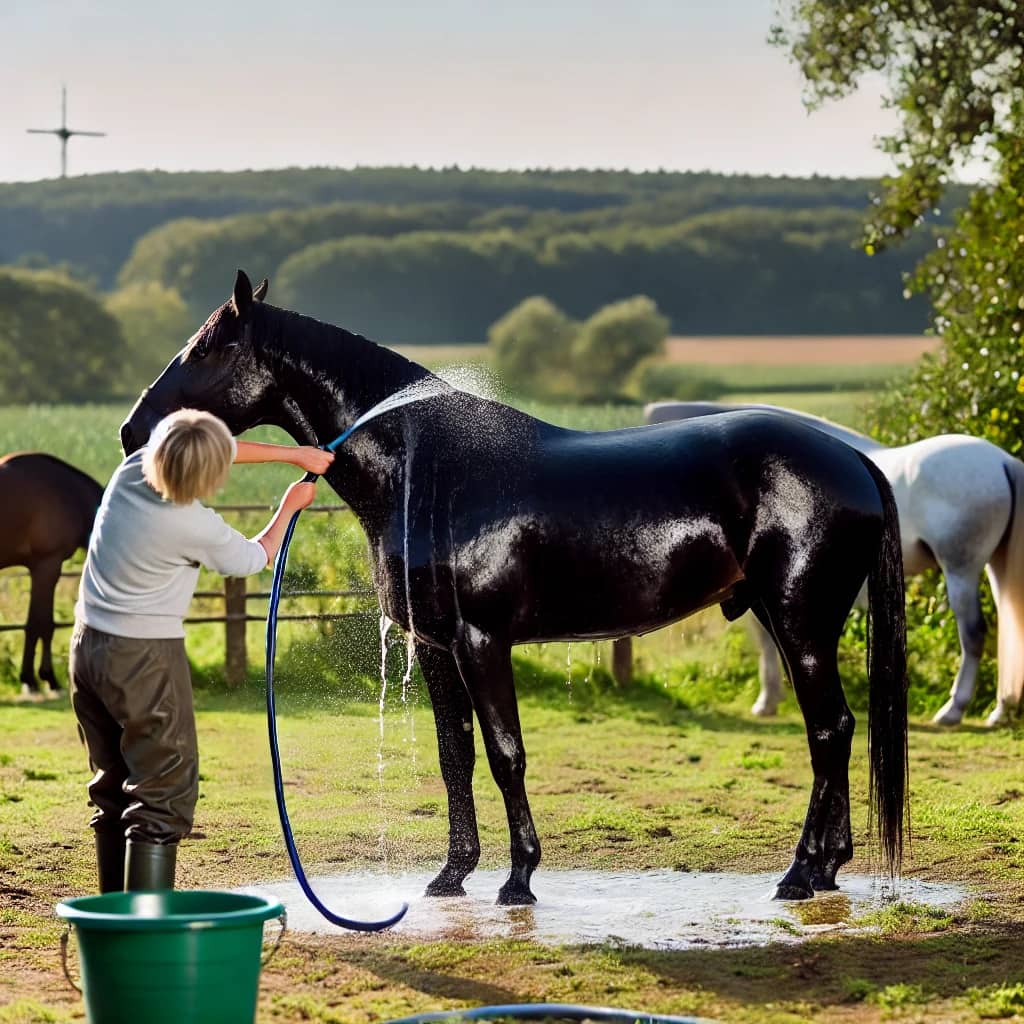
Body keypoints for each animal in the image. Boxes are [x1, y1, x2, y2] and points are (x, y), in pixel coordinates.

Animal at [121, 272, 913, 905]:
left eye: (205, 348)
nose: (134, 431)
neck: (427, 466)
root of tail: (855, 461)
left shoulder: (482, 641)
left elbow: (506, 754)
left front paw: (519, 879)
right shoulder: (435, 645)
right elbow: (456, 756)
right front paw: (451, 875)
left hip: (800, 623)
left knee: (828, 730)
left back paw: (801, 874)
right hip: (791, 623)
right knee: (836, 730)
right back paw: (827, 868)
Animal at [647, 399, 1024, 729]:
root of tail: (1002, 461)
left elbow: (766, 643)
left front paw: (767, 701)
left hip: (961, 569)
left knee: (972, 633)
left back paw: (953, 710)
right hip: (990, 569)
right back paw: (998, 711)